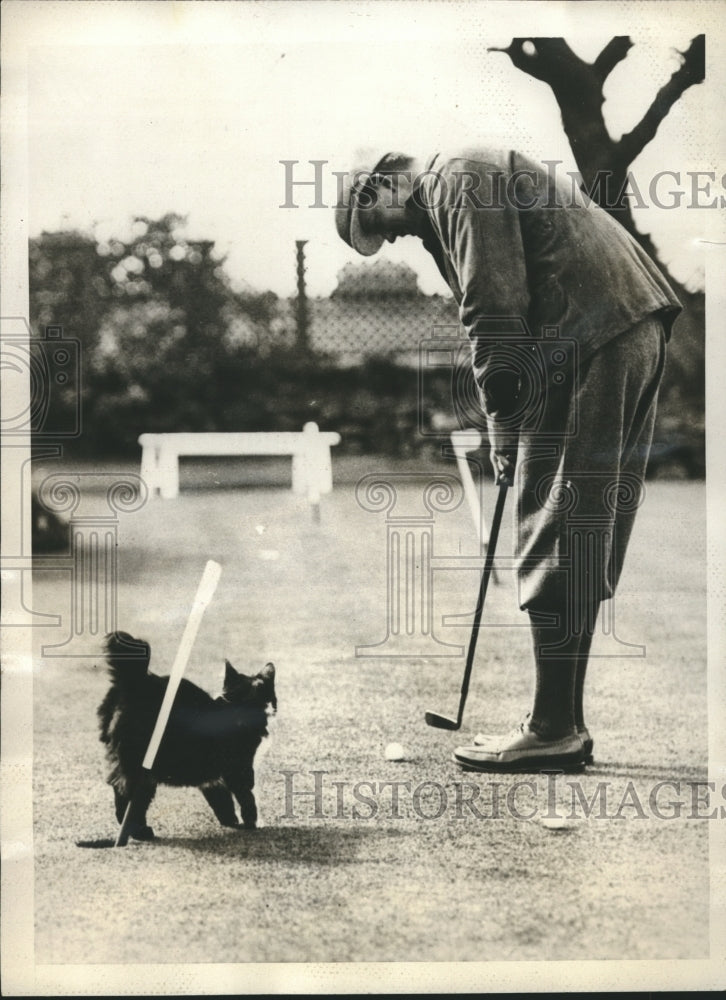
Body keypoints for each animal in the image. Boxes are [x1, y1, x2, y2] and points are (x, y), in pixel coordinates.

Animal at [98, 628, 278, 840]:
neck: (237, 709)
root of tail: (135, 682)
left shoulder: (214, 775)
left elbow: (220, 797)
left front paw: (230, 820)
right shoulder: (239, 767)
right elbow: (246, 797)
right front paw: (252, 822)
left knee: (120, 791)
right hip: (141, 767)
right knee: (127, 799)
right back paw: (140, 832)